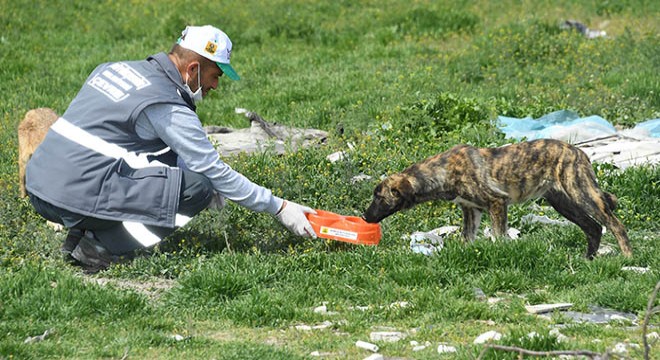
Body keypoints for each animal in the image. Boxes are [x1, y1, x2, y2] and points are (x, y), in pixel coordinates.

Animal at [366, 139, 636, 258]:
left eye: (379, 198)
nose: (364, 216)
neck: (442, 171)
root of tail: (580, 152)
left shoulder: (497, 203)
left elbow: (498, 238)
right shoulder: (471, 211)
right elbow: (467, 239)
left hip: (582, 194)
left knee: (615, 225)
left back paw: (627, 258)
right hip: (563, 203)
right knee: (593, 228)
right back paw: (588, 260)